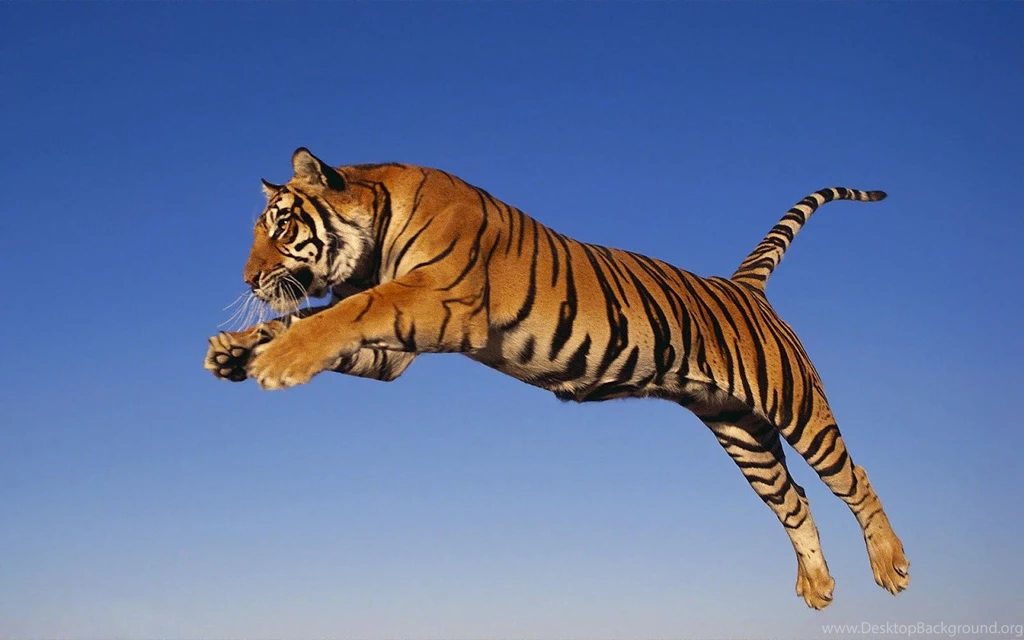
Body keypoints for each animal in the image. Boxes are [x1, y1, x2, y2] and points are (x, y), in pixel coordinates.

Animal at [205, 147, 910, 609]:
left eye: (283, 226)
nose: (247, 279)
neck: (375, 237)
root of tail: (743, 285)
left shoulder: (434, 300)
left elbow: (339, 313)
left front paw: (275, 361)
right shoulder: (396, 352)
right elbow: (310, 317)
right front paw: (234, 350)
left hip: (796, 404)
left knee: (853, 476)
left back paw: (891, 565)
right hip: (740, 431)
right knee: (794, 499)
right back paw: (818, 587)